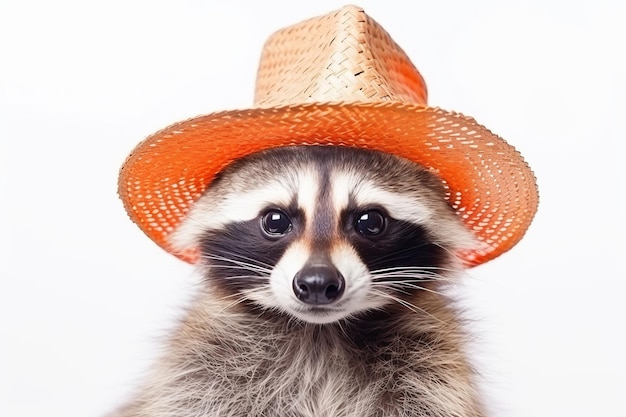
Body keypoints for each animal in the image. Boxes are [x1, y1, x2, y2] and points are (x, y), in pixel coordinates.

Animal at [111, 145, 482, 416]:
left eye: (370, 221)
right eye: (275, 220)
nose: (318, 283)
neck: (321, 333)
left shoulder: (430, 370)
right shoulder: (203, 371)